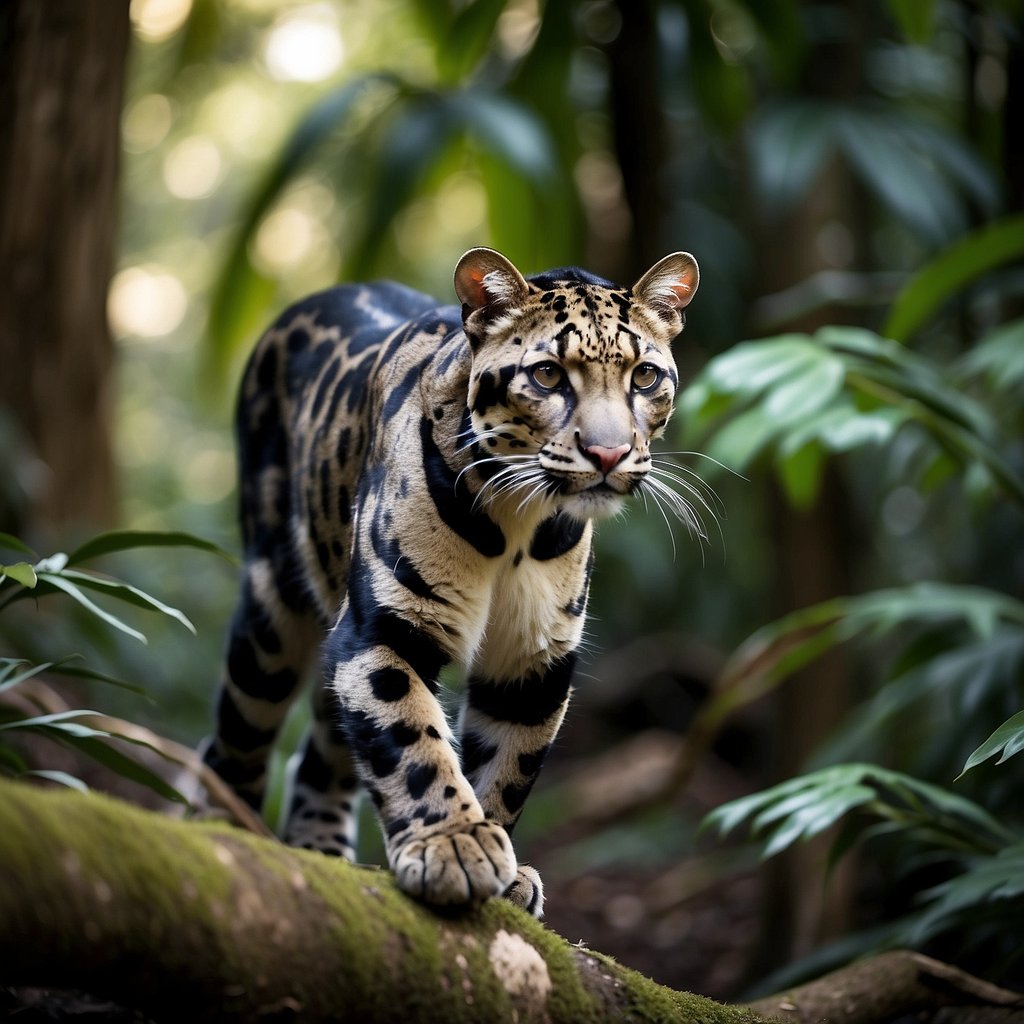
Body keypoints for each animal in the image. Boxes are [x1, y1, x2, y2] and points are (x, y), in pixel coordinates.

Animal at [199, 247, 696, 921]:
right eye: (547, 376)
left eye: (644, 378)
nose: (609, 454)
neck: (519, 524)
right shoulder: (385, 628)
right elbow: (411, 740)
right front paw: (454, 844)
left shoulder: (533, 659)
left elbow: (508, 765)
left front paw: (502, 869)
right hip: (271, 615)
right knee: (235, 739)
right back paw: (219, 829)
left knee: (321, 753)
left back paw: (321, 849)